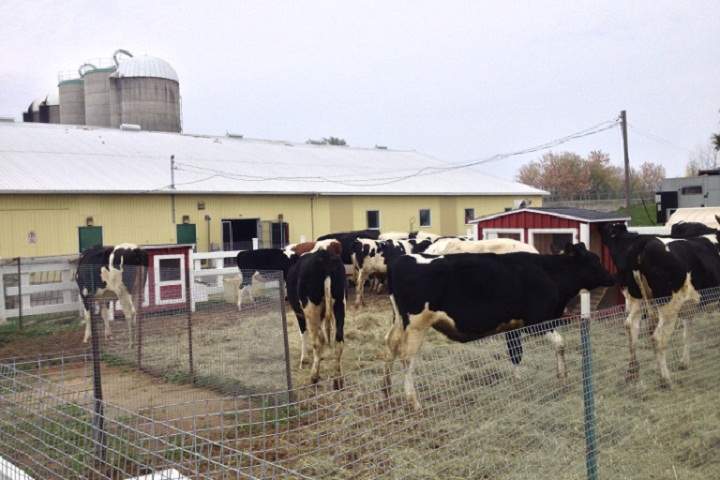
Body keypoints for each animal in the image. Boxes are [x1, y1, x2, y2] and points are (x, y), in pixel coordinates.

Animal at [287, 249, 346, 387]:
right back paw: (338, 381)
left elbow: (303, 333)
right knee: (338, 340)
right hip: (339, 303)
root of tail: (325, 256)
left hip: (311, 308)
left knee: (318, 341)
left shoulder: (299, 314)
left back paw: (314, 376)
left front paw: (304, 360)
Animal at [383, 243, 614, 411]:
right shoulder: (537, 322)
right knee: (408, 358)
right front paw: (562, 377)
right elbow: (560, 344)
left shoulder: (513, 325)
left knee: (391, 347)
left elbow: (516, 353)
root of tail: (401, 259)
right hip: (417, 325)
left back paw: (387, 393)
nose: (612, 277)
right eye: (595, 260)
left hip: (398, 322)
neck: (548, 272)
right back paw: (413, 402)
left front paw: (517, 382)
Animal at [601, 223, 720, 387]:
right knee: (658, 338)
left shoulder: (689, 306)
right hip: (668, 307)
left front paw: (684, 363)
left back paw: (633, 373)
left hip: (636, 299)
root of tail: (643, 243)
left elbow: (687, 332)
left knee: (631, 326)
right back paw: (665, 379)